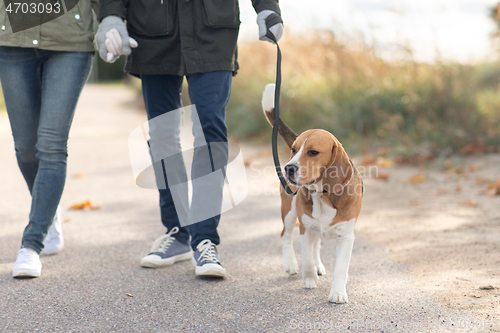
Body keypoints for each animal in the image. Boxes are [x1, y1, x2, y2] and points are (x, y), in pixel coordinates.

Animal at [262, 82, 364, 300]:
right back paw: (291, 264)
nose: (288, 168)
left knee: (317, 244)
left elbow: (341, 268)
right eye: (294, 149)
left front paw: (337, 293)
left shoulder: (346, 237)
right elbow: (307, 257)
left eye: (313, 152)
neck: (322, 194)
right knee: (285, 235)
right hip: (289, 212)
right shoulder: (305, 228)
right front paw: (309, 279)